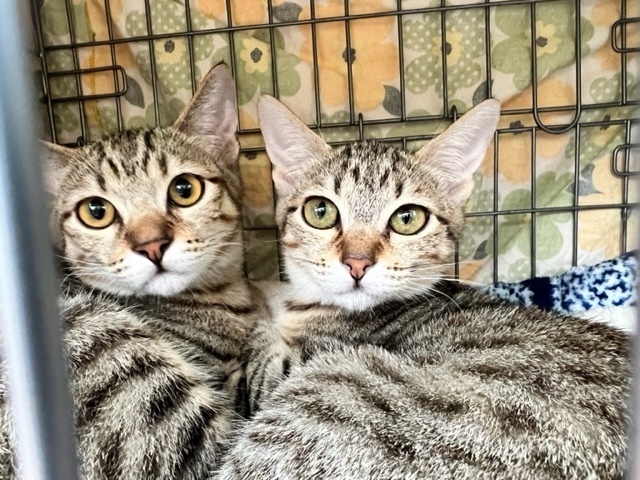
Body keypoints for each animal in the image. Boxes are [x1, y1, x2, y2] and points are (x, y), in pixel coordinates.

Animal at [214, 96, 631, 479]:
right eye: (321, 211)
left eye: (407, 219)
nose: (357, 262)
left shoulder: (285, 372)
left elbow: (259, 346)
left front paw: (247, 292)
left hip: (328, 388)